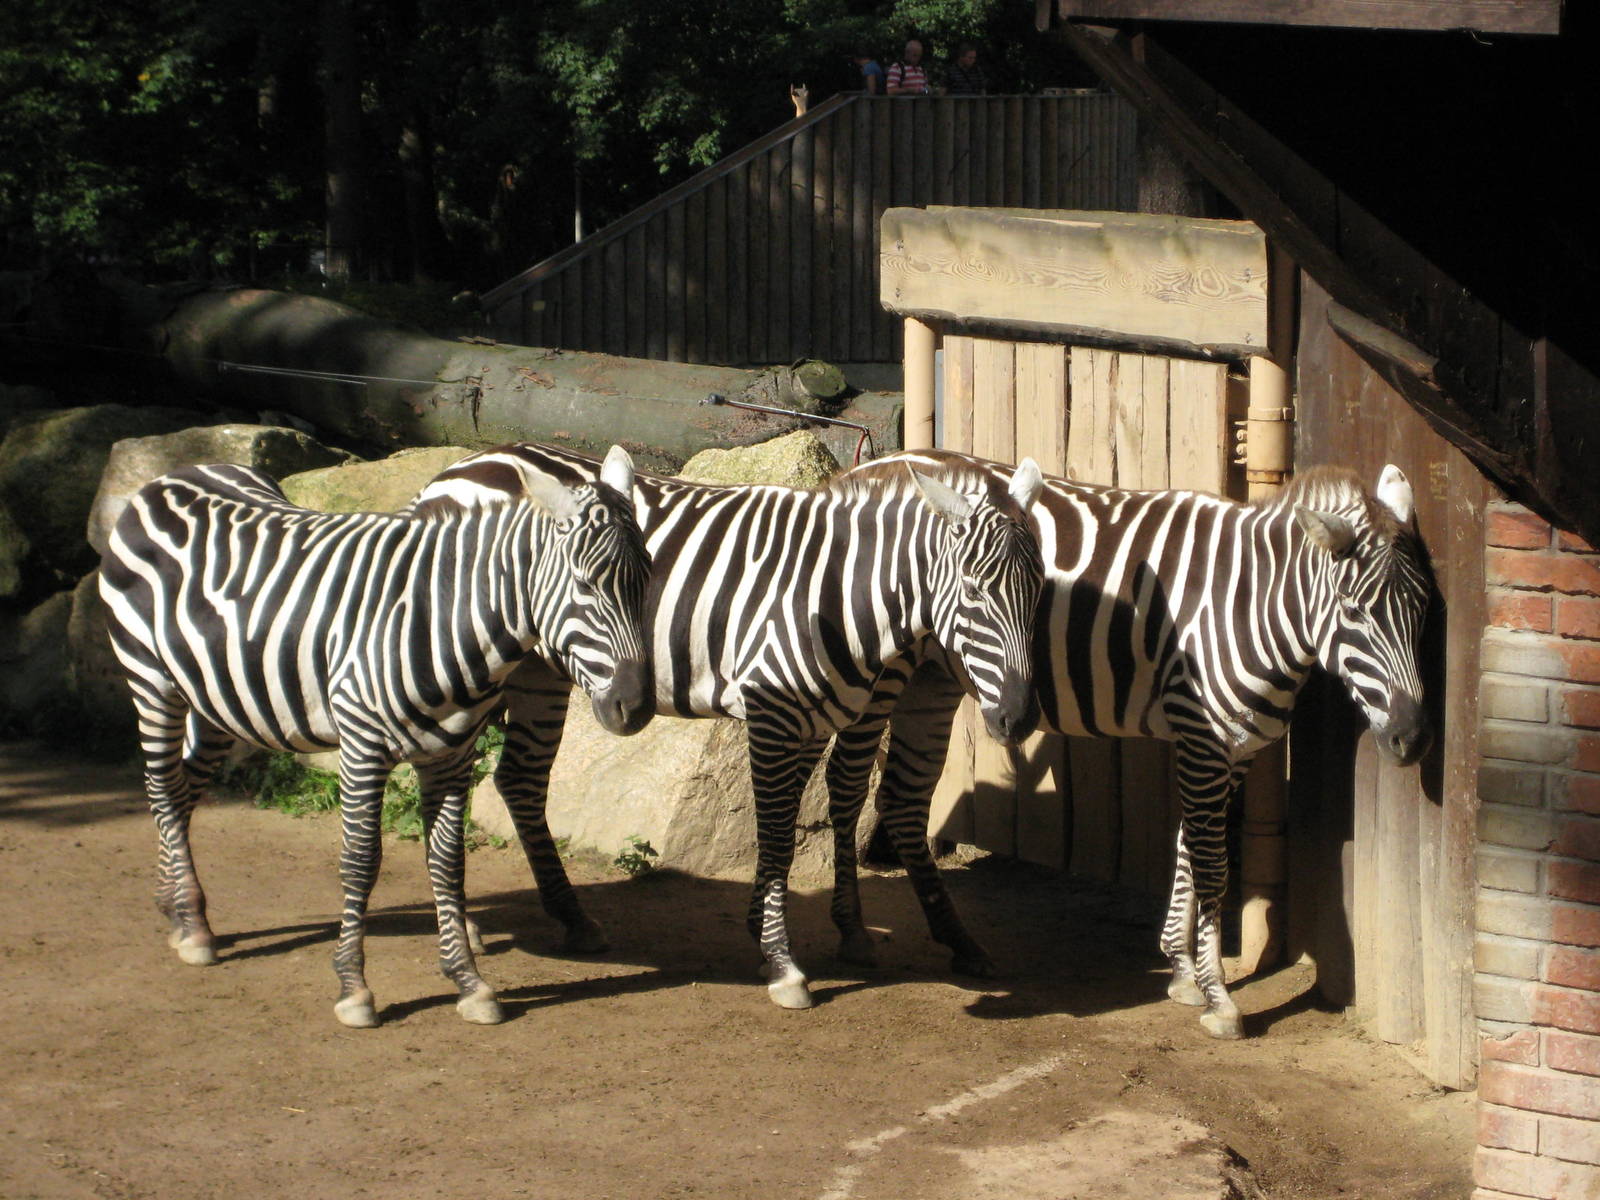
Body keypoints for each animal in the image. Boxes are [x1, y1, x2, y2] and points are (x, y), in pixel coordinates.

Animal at [99, 447, 653, 1028]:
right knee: (162, 789)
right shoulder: (362, 747)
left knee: (184, 789)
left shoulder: (451, 757)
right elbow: (360, 861)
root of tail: (176, 474)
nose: (634, 706)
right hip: (152, 681)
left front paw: (468, 981)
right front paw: (353, 987)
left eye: (648, 579)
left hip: (216, 696)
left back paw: (177, 910)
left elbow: (448, 864)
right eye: (585, 585)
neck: (445, 617)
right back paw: (192, 925)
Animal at [410, 442, 1048, 1009]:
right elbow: (777, 837)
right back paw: (469, 932)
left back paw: (568, 919)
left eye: (1040, 591)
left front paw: (764, 935)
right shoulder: (771, 714)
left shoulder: (812, 721)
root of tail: (458, 468)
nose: (1018, 718)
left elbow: (787, 834)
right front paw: (783, 964)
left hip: (537, 672)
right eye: (972, 592)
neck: (837, 590)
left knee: (517, 780)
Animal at [820, 450, 1431, 1039]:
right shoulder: (1203, 738)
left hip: (932, 678)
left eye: (1424, 611)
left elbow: (1189, 848)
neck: (1249, 605)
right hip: (880, 674)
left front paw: (1181, 969)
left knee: (903, 800)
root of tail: (866, 466)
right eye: (1353, 611)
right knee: (847, 785)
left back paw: (960, 942)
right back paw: (852, 932)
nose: (1412, 740)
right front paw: (1219, 998)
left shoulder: (1231, 745)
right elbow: (1214, 866)